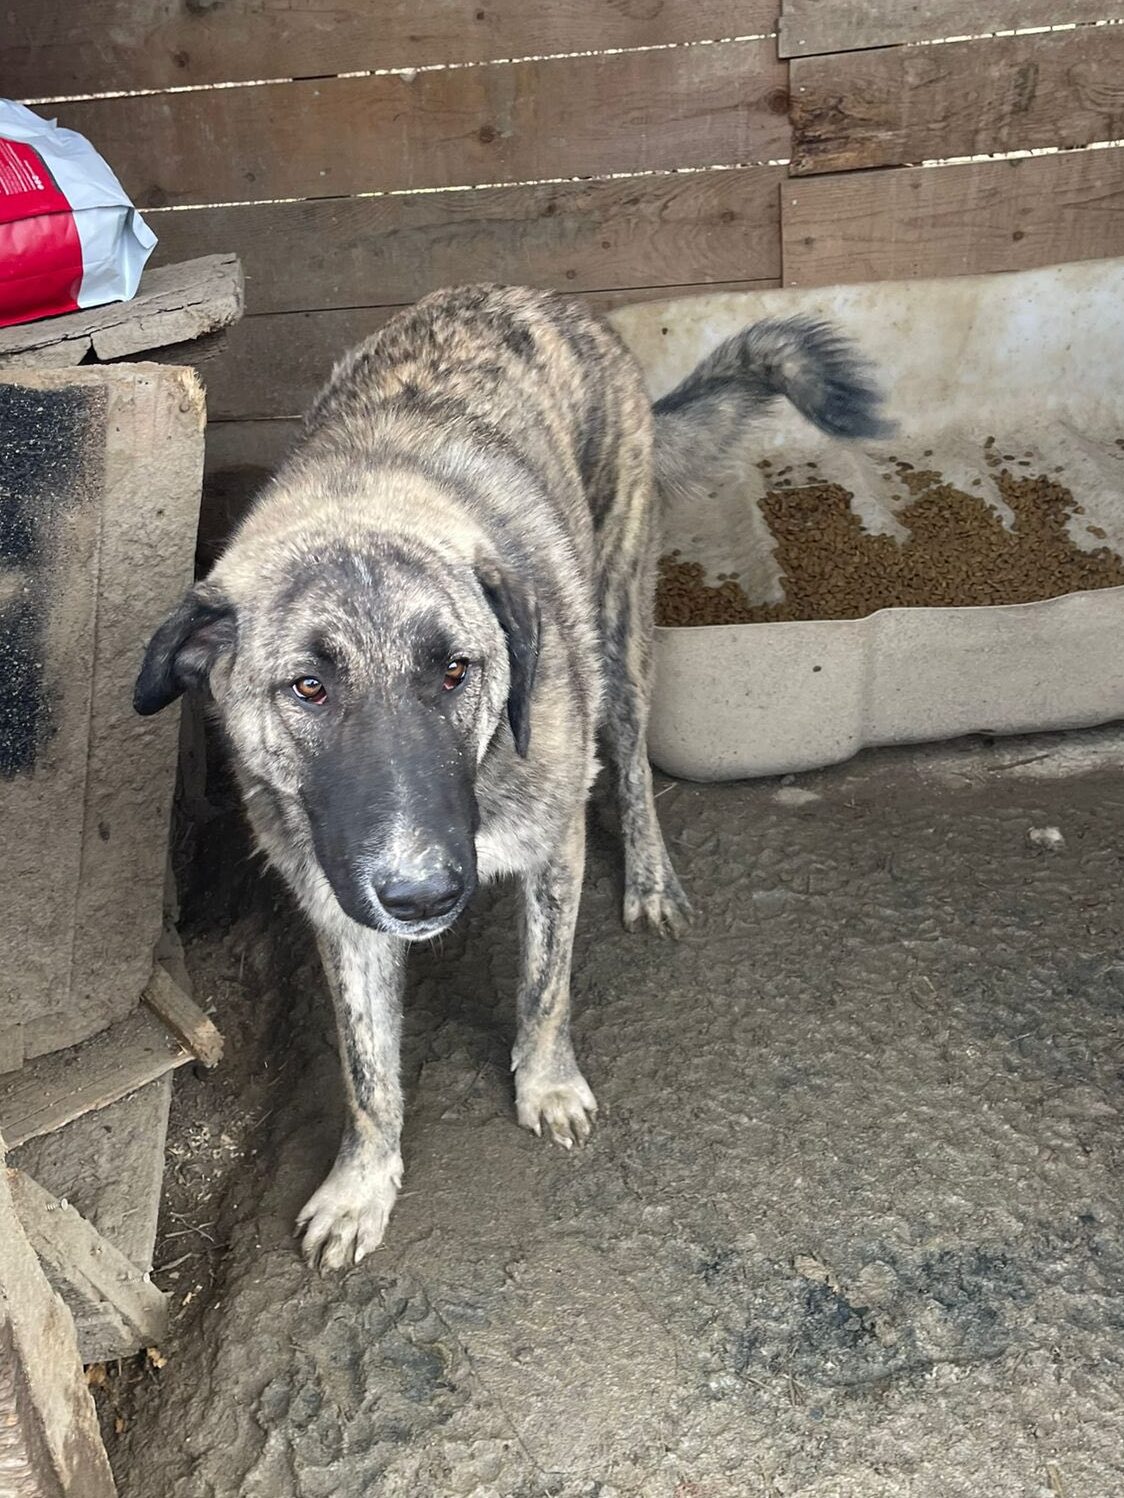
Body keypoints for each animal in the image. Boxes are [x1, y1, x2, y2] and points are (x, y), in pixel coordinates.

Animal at [135, 286, 888, 1270]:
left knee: (634, 763)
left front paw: (547, 1085)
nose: (422, 895)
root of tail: (543, 300)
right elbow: (367, 1072)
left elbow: (545, 987)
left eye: (456, 671)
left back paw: (651, 878)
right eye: (308, 687)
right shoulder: (342, 915)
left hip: (619, 630)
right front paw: (363, 1183)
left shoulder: (554, 848)